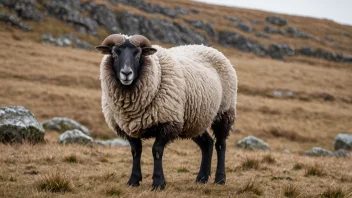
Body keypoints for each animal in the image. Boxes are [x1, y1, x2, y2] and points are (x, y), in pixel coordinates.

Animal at [95, 34, 238, 190]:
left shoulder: (168, 122)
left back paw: (220, 179)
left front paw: (158, 183)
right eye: (114, 53)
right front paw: (133, 181)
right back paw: (202, 178)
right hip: (194, 120)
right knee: (207, 144)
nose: (126, 73)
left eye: (138, 54)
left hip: (224, 112)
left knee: (221, 144)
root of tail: (210, 48)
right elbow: (135, 152)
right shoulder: (127, 127)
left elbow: (156, 151)